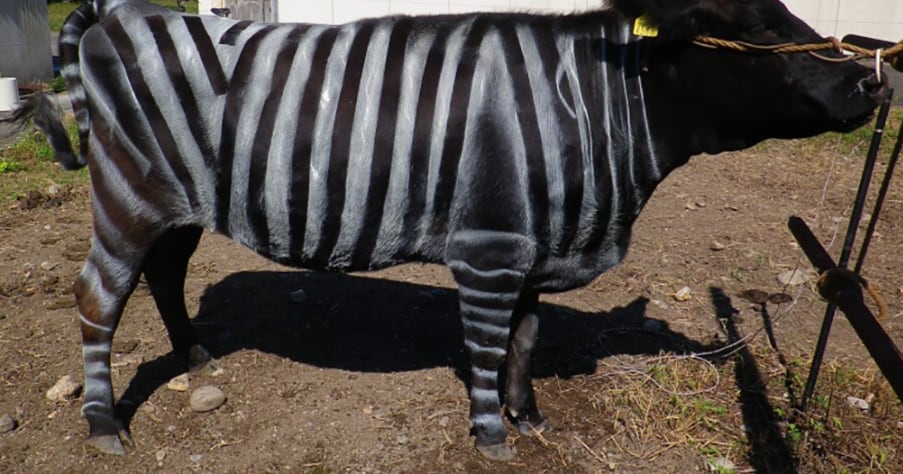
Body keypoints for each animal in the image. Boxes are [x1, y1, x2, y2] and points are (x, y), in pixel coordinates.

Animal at [33, 0, 884, 461]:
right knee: (99, 296)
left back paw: (196, 356)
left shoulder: (538, 244)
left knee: (166, 273)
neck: (593, 110)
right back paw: (104, 424)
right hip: (130, 194)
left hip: (180, 203)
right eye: (753, 32)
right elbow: (484, 344)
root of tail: (124, 14)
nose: (870, 81)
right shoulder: (490, 249)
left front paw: (528, 417)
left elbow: (526, 339)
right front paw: (489, 435)